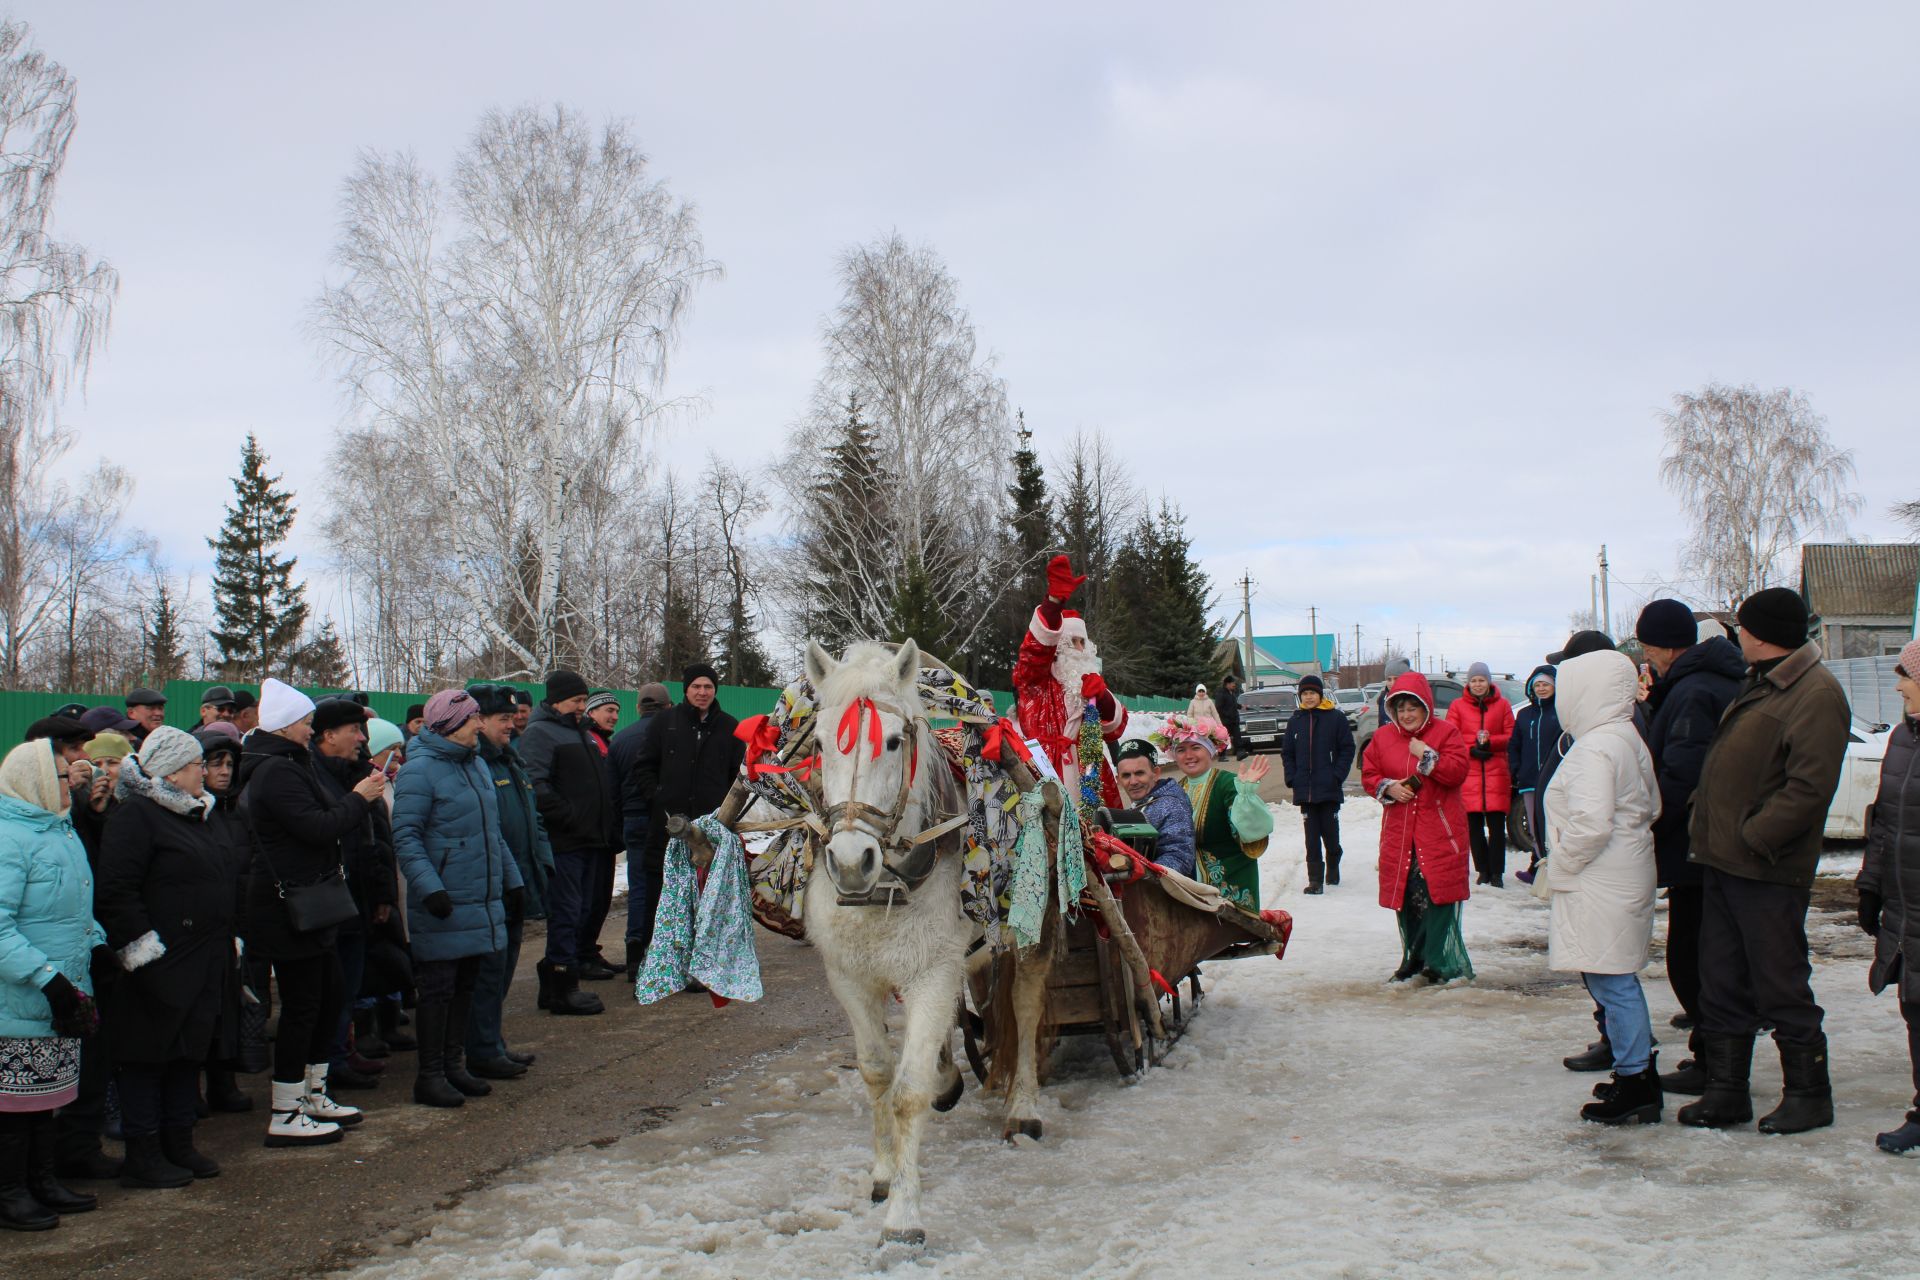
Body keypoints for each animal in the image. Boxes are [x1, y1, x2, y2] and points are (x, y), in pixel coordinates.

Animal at [798, 644, 975, 1243]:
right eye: (819, 743)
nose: (852, 863)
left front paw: (904, 1214)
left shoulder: (934, 974)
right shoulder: (848, 978)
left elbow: (908, 1090)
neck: (885, 893)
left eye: (894, 741)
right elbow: (876, 1073)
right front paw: (881, 1174)